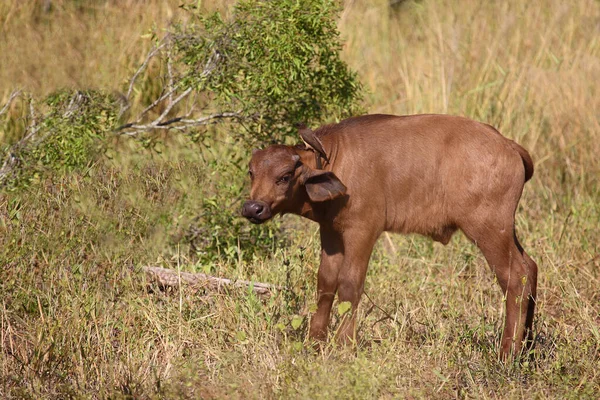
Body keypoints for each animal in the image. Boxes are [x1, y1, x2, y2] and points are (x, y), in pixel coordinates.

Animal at [241, 114, 536, 360]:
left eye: (285, 176)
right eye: (251, 172)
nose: (253, 208)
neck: (336, 160)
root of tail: (508, 145)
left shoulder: (362, 232)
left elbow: (349, 285)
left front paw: (344, 346)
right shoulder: (331, 232)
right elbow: (325, 283)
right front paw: (314, 343)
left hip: (488, 230)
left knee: (515, 278)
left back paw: (507, 355)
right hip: (505, 231)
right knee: (530, 268)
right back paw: (528, 347)